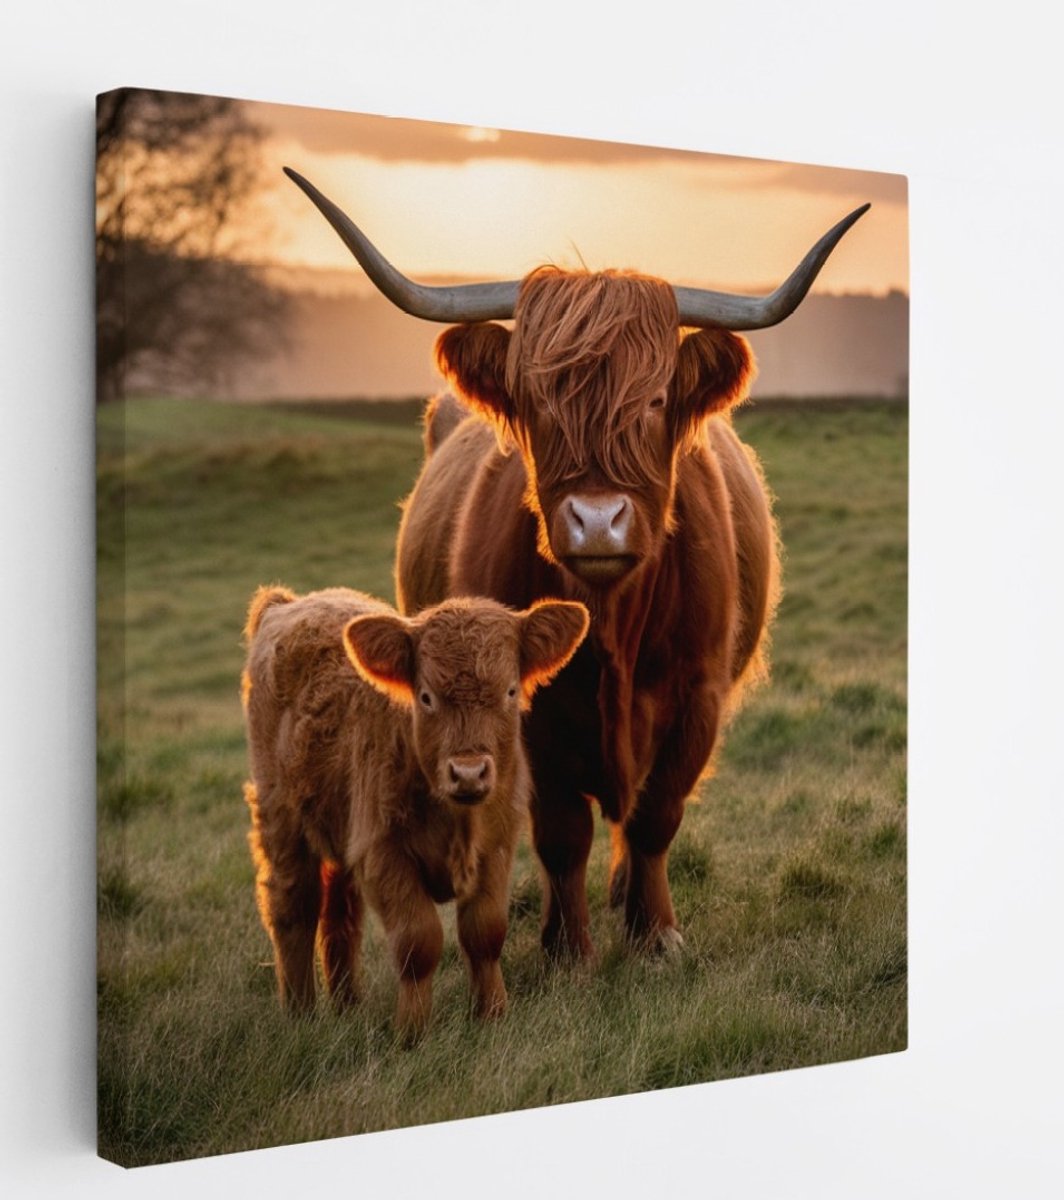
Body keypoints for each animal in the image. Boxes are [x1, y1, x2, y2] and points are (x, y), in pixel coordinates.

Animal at [241, 584, 589, 1035]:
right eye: (426, 697)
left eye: (510, 691)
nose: (468, 773)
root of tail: (291, 602)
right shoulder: (384, 854)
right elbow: (418, 942)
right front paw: (412, 1032)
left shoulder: (496, 848)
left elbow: (485, 932)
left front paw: (492, 1014)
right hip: (280, 817)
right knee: (293, 907)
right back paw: (300, 1014)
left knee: (340, 915)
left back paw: (348, 1004)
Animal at [284, 167, 868, 961]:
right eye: (536, 403)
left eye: (655, 399)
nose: (596, 520)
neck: (613, 624)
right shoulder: (520, 711)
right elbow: (562, 834)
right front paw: (568, 948)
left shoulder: (698, 696)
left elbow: (655, 818)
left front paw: (655, 934)